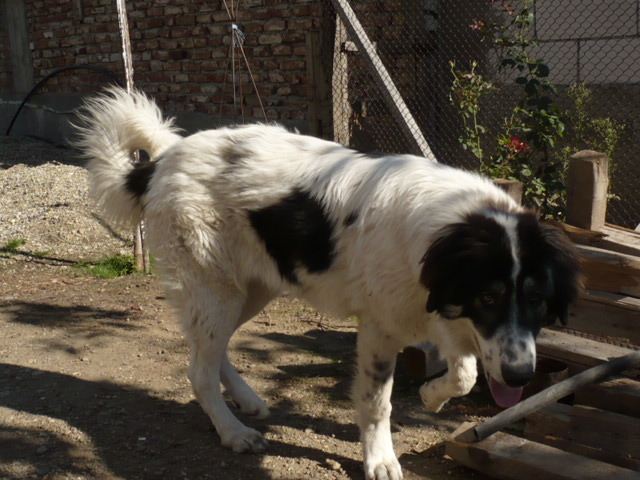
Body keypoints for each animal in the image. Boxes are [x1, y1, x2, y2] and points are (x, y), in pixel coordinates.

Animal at [75, 87, 580, 480]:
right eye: (489, 296)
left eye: (536, 299)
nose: (522, 377)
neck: (447, 229)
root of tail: (160, 161)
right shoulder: (382, 327)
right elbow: (378, 403)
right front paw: (379, 459)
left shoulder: (443, 314)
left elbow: (465, 373)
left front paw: (431, 399)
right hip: (217, 290)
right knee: (199, 370)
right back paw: (234, 432)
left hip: (251, 289)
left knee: (210, 353)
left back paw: (247, 402)